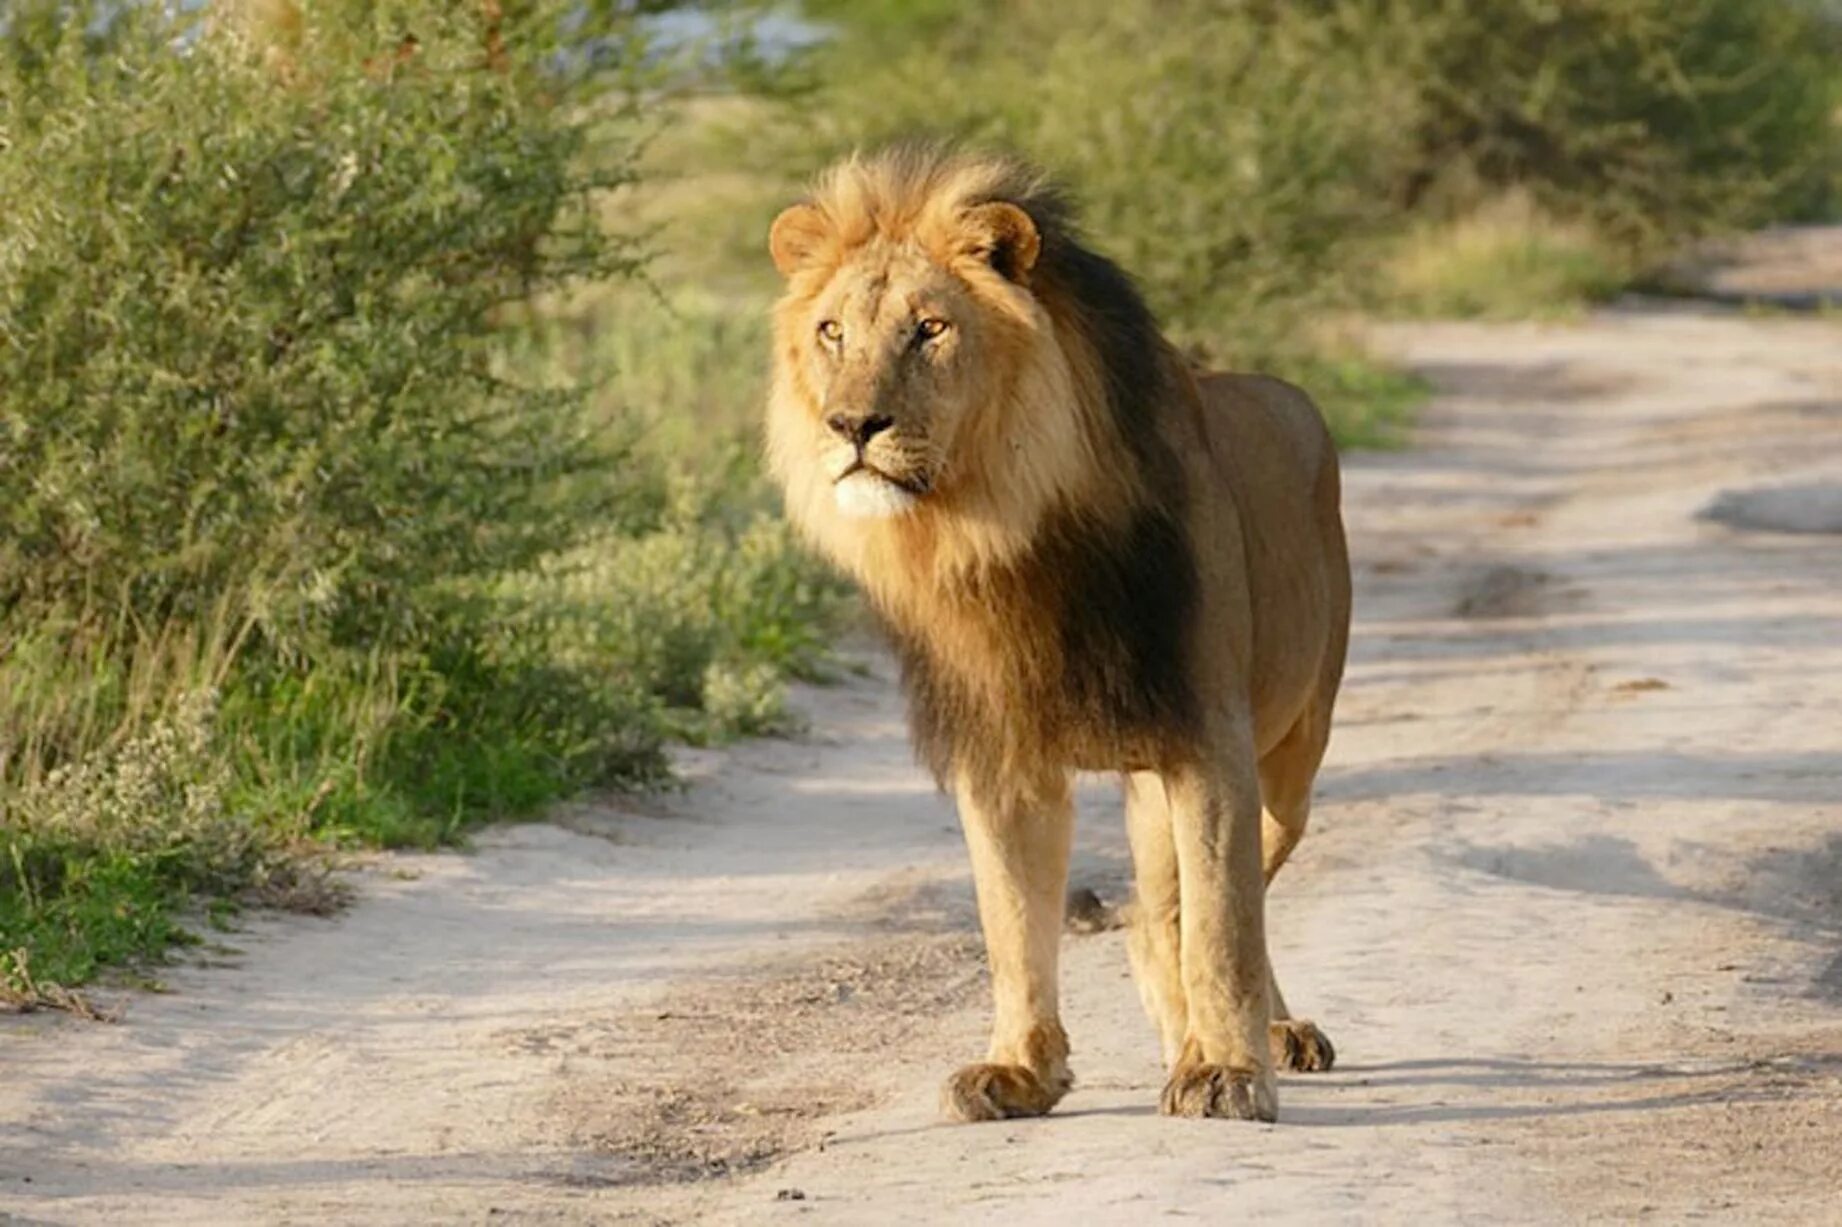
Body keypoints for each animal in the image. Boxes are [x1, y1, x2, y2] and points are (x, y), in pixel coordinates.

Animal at [762, 143, 1355, 1120]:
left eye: (930, 329)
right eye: (832, 332)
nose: (851, 424)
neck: (1001, 535)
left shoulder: (1208, 736)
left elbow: (1225, 924)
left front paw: (1228, 1073)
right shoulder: (999, 755)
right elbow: (1011, 920)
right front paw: (1021, 1070)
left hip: (1292, 758)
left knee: (1215, 902)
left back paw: (1261, 1035)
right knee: (1154, 920)